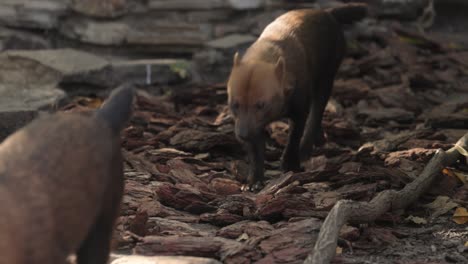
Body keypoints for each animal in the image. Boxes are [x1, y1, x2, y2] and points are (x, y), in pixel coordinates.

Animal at [226, 4, 366, 190]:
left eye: (261, 105)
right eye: (234, 104)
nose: (242, 135)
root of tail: (328, 13)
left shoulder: (299, 110)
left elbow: (294, 136)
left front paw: (290, 164)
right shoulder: (251, 124)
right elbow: (255, 152)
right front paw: (254, 181)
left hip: (326, 78)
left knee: (316, 112)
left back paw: (306, 148)